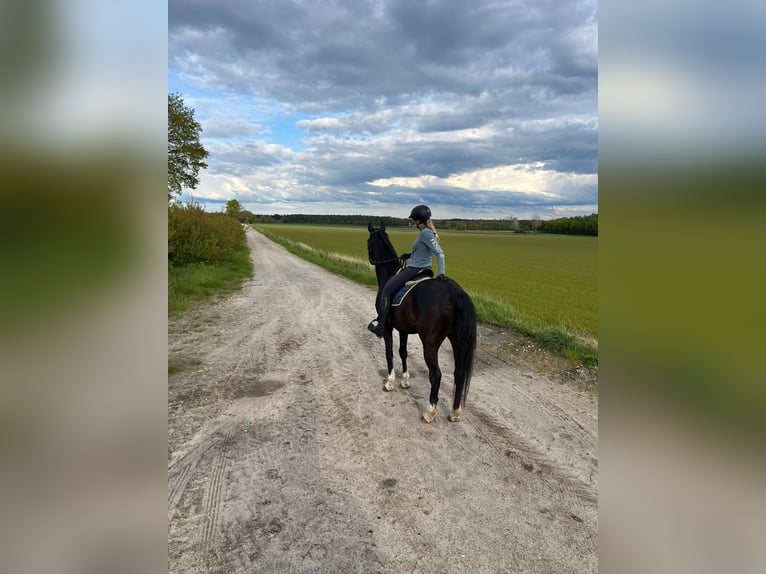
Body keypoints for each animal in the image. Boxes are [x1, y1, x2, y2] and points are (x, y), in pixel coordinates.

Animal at [368, 223, 480, 426]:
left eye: (368, 243)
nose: (370, 259)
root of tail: (453, 291)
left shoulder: (387, 328)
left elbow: (389, 353)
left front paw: (390, 382)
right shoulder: (403, 329)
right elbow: (402, 352)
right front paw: (405, 381)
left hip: (430, 344)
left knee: (436, 375)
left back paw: (430, 412)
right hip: (457, 340)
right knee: (459, 373)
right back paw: (455, 412)